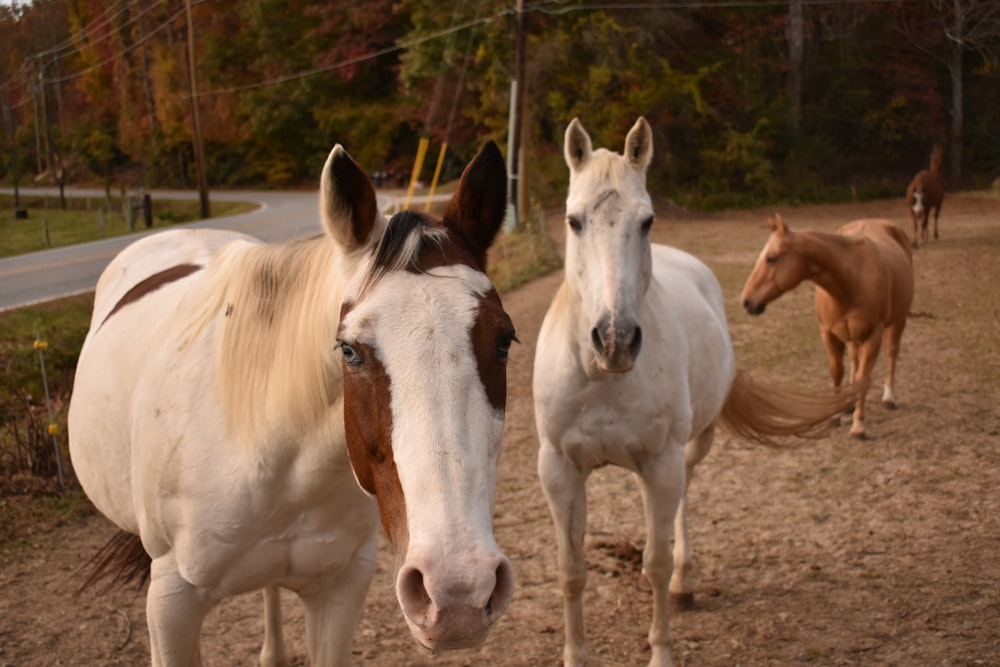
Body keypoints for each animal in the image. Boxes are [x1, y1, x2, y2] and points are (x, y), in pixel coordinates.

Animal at [68, 142, 516, 667]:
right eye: (349, 350)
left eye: (504, 341)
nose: (458, 591)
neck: (271, 459)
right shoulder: (171, 603)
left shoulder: (341, 587)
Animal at [536, 118, 856, 667]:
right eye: (573, 221)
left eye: (647, 221)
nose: (616, 338)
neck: (602, 377)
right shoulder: (559, 469)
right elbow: (571, 571)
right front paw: (576, 655)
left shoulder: (661, 462)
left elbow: (657, 563)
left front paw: (661, 650)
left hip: (690, 447)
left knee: (682, 503)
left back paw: (685, 585)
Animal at [744, 217, 916, 440]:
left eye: (771, 258)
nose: (747, 302)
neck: (851, 281)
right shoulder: (828, 333)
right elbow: (837, 372)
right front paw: (835, 417)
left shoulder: (873, 336)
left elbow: (863, 377)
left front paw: (858, 426)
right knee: (854, 359)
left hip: (897, 321)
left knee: (892, 353)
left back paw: (889, 397)